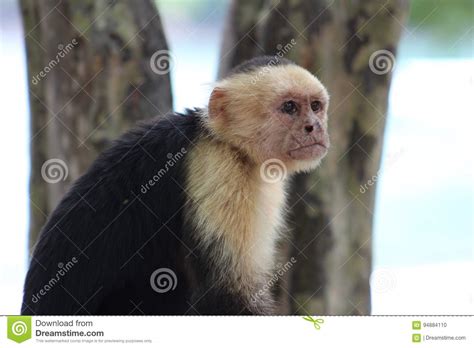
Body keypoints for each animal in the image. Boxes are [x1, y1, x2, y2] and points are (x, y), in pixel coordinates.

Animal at [22, 55, 330, 314]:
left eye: (315, 106)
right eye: (289, 107)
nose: (314, 126)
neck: (224, 141)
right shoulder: (219, 168)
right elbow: (225, 296)